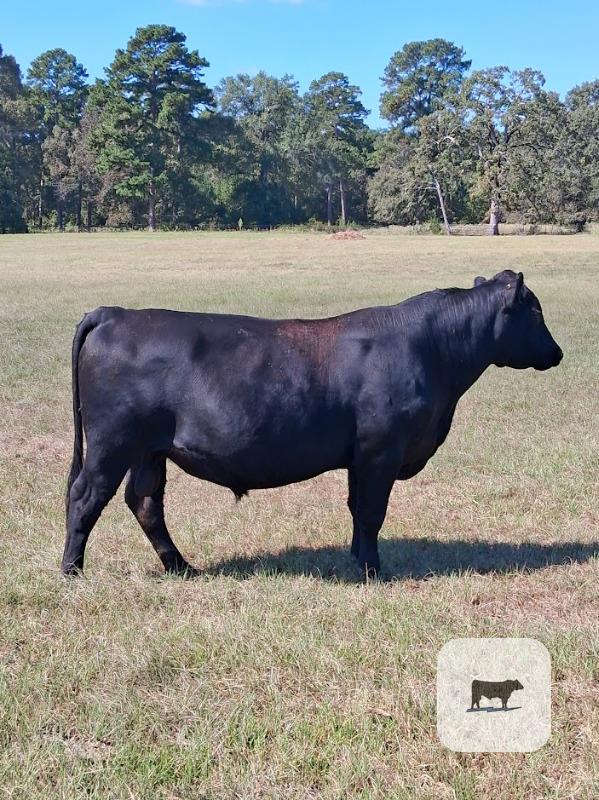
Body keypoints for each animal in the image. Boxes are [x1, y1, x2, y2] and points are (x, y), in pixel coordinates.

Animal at [62, 269, 563, 578]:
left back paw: (181, 566)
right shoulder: (381, 450)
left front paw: (359, 560)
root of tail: (116, 313)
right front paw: (374, 571)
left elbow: (358, 510)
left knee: (144, 502)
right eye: (536, 311)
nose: (557, 352)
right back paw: (72, 570)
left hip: (149, 450)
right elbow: (372, 511)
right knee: (86, 495)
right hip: (112, 441)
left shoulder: (361, 457)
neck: (431, 349)